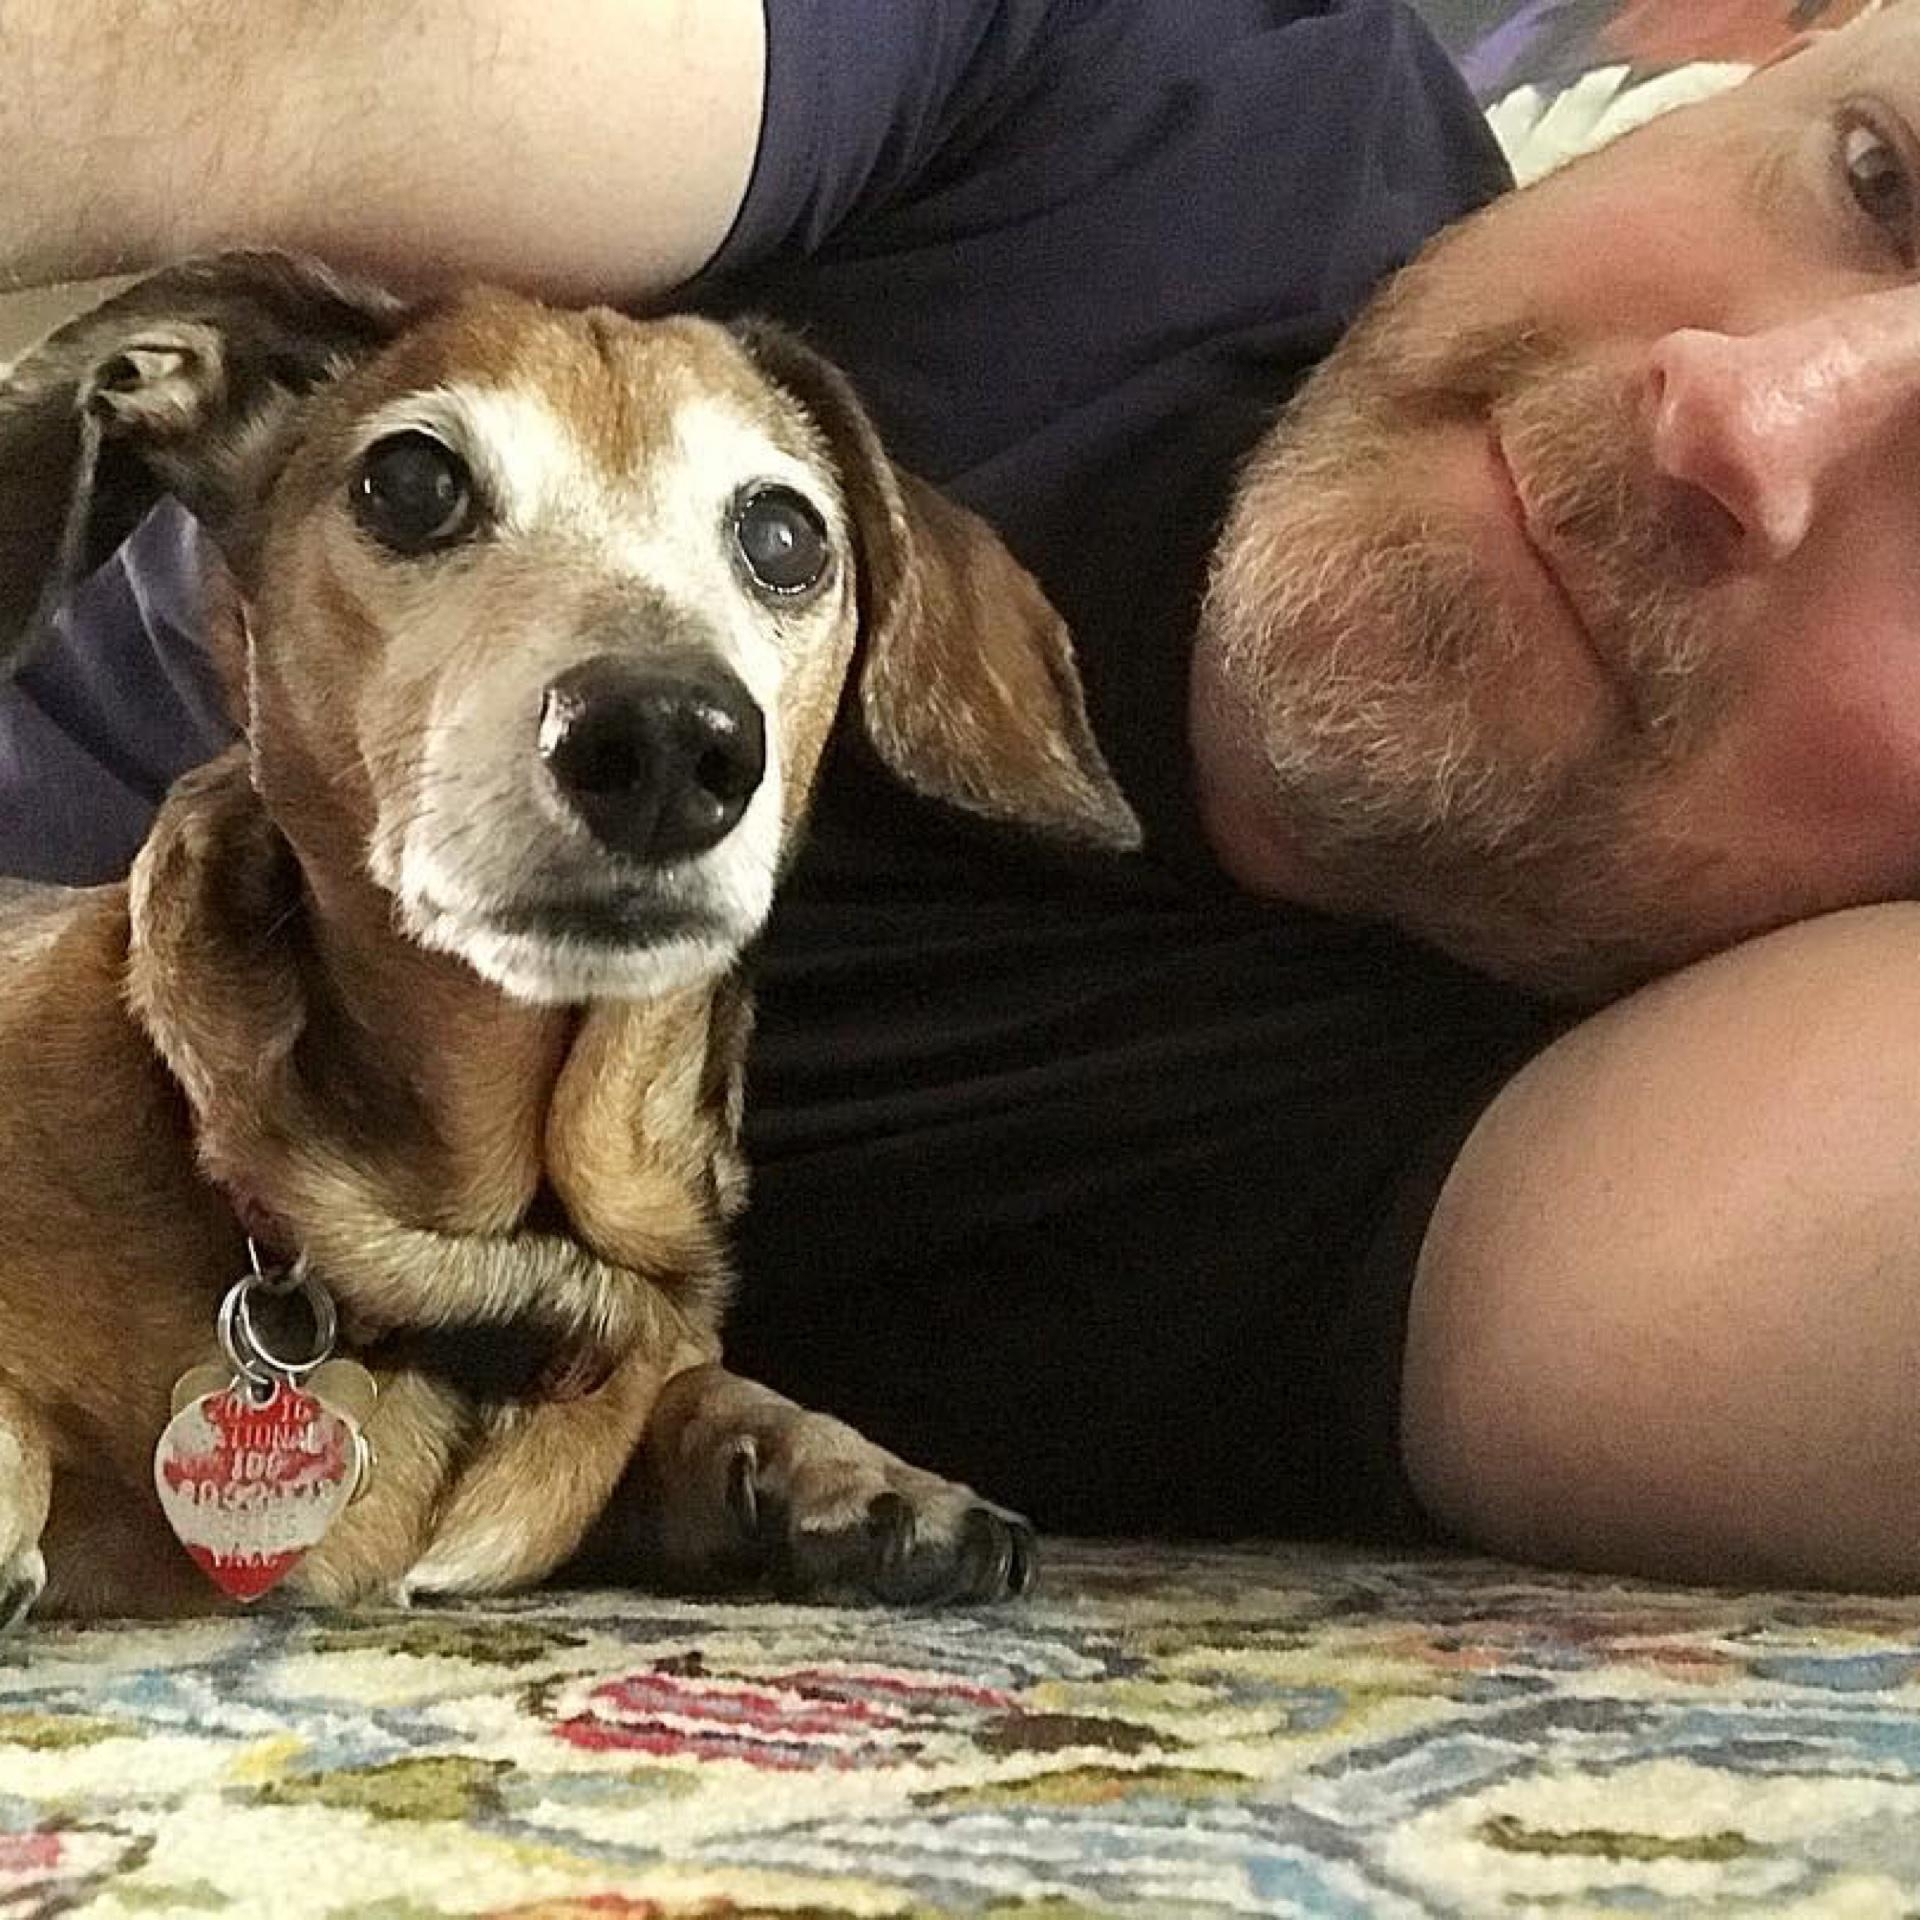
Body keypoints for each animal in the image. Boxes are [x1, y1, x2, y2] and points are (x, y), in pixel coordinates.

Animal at [0, 253, 1139, 1620]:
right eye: (411, 482)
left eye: (786, 534)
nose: (666, 741)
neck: (485, 1270)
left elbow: (692, 1385)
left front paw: (854, 1473)